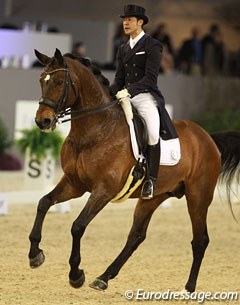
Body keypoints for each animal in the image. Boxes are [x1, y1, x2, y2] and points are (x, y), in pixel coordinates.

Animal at [28, 49, 240, 292]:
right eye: (41, 80)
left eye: (59, 82)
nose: (42, 121)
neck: (94, 131)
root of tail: (208, 138)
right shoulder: (74, 184)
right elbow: (43, 202)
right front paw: (35, 255)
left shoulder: (104, 190)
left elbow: (78, 226)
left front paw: (76, 274)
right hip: (154, 197)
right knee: (136, 236)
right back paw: (104, 277)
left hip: (198, 197)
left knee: (200, 240)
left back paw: (188, 288)